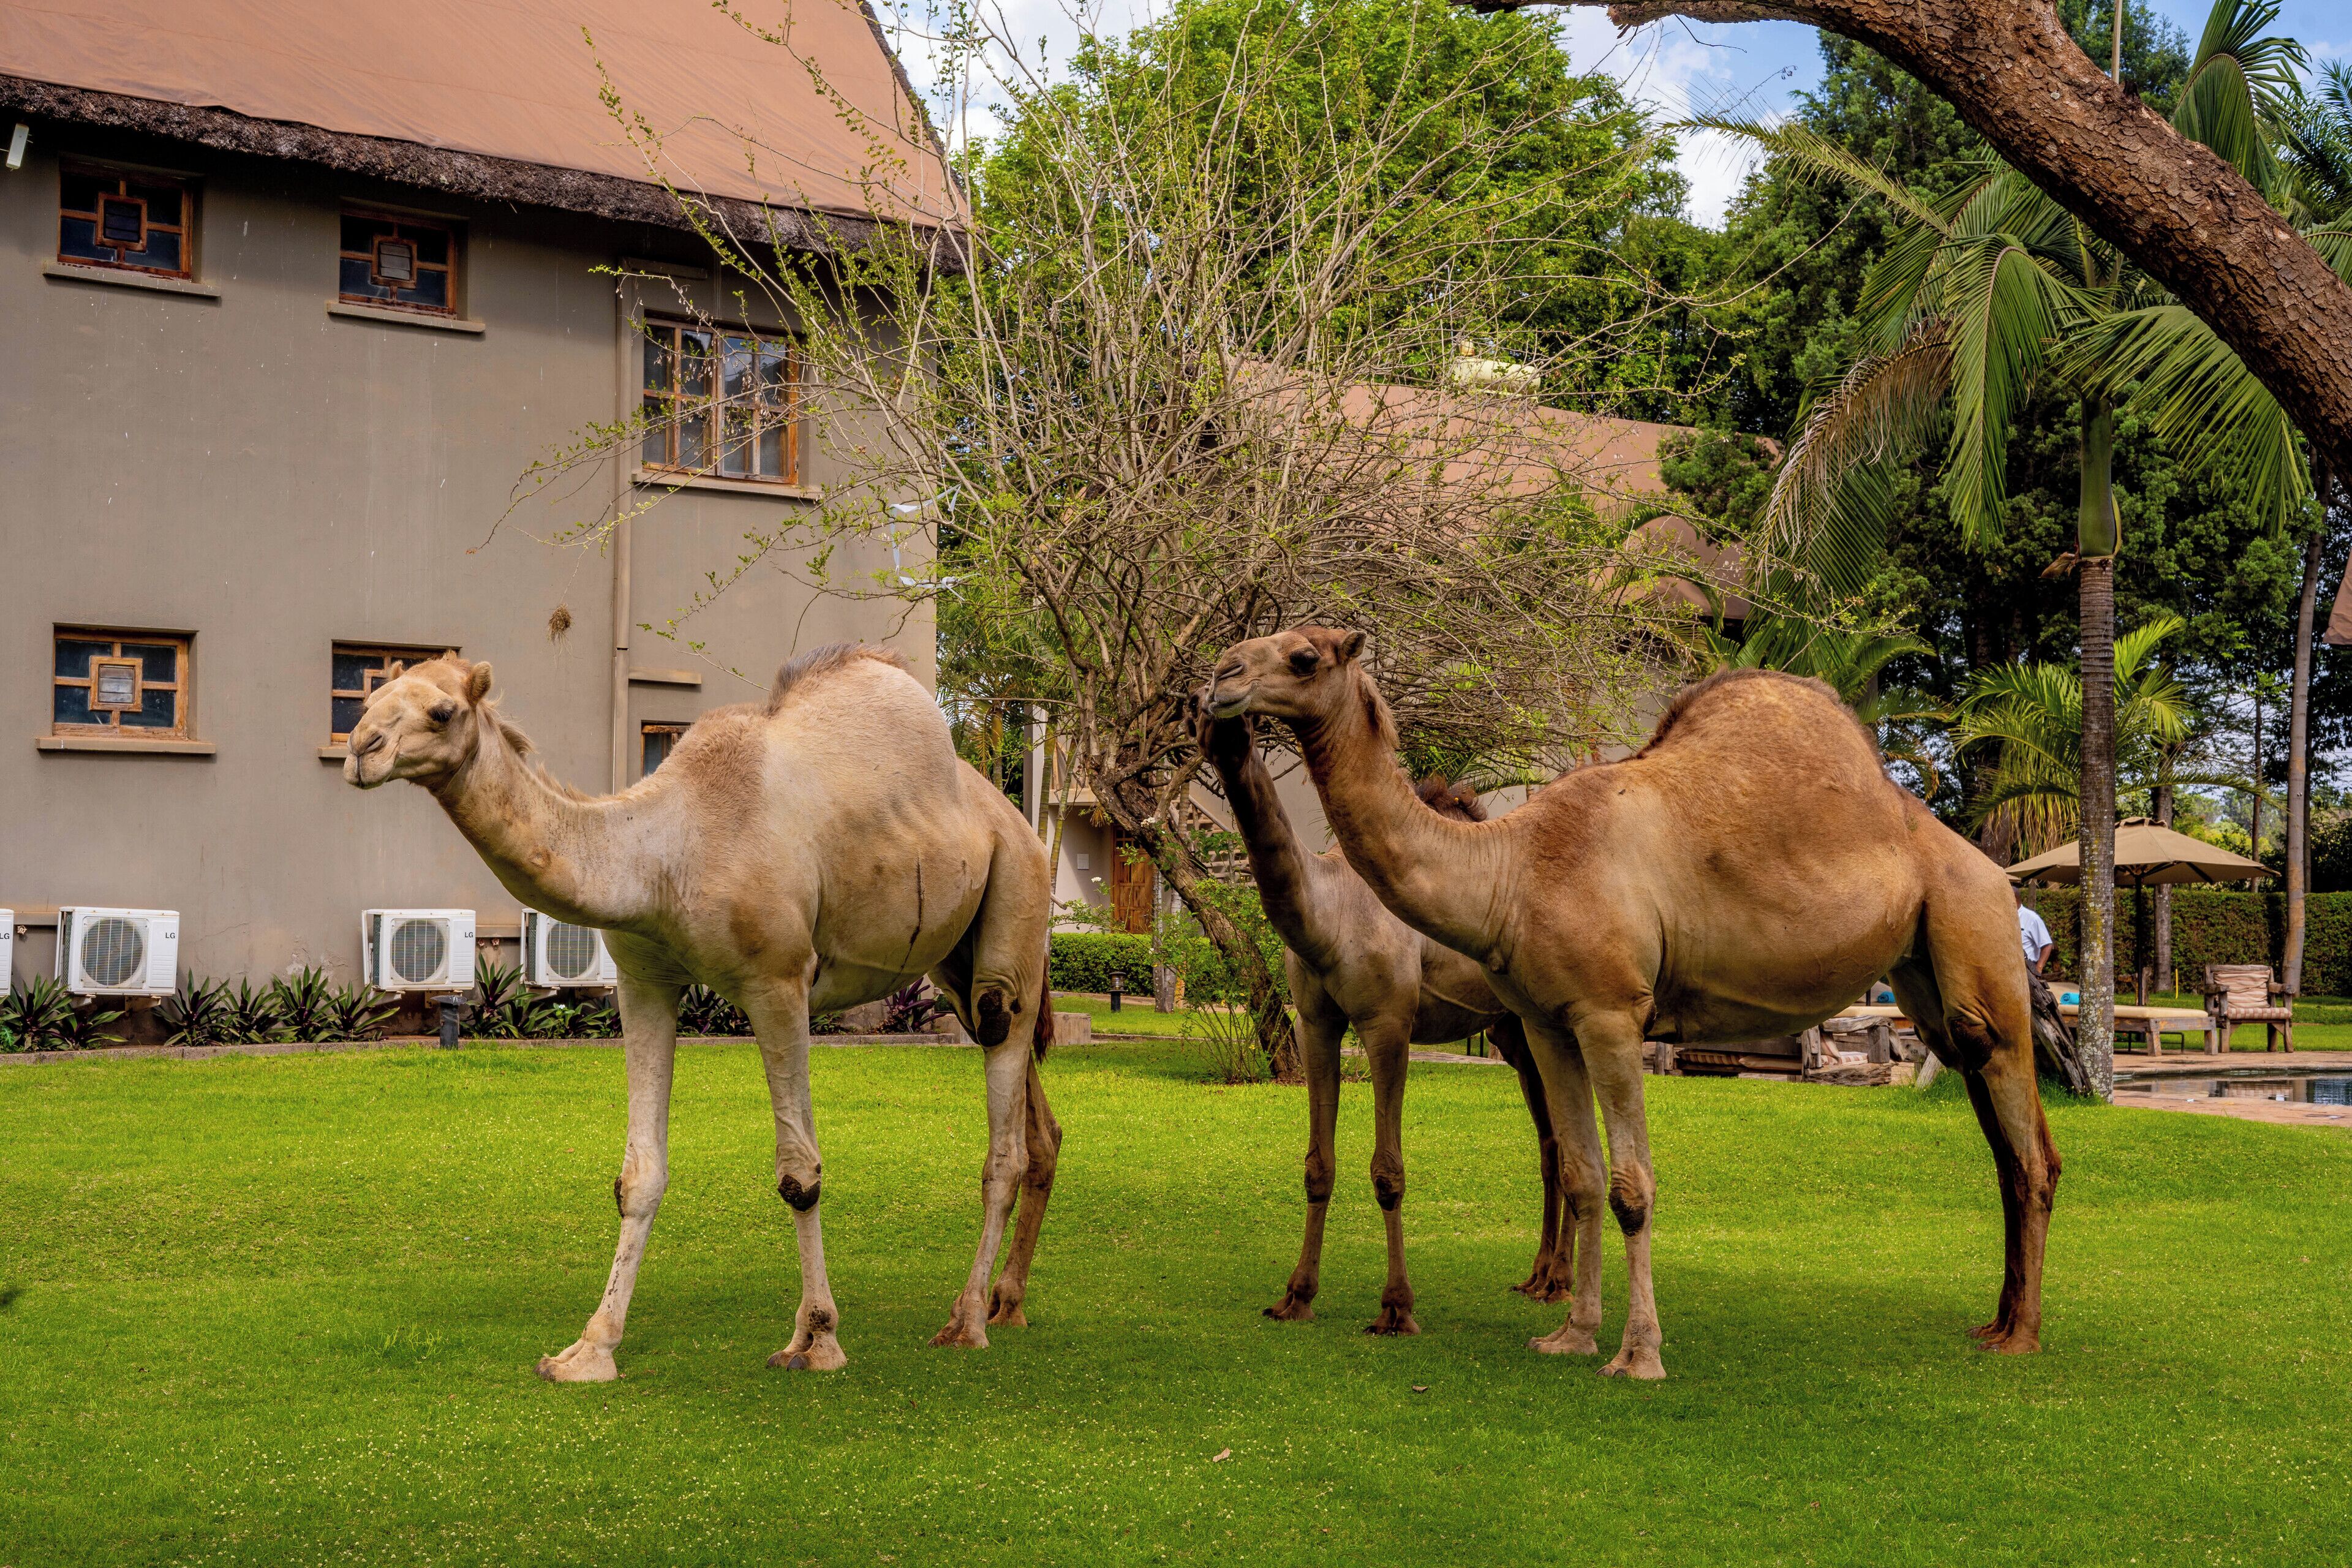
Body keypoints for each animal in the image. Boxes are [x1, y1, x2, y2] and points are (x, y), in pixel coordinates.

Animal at [344, 647, 1060, 1381]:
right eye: (370, 701)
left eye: (442, 711)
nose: (361, 751)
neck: (663, 853)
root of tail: (1018, 821)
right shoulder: (644, 980)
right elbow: (639, 1175)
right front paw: (589, 1349)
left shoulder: (778, 981)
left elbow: (799, 1173)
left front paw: (816, 1340)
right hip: (954, 960)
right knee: (1036, 1121)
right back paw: (1008, 1303)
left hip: (1016, 906)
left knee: (1004, 1120)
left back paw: (966, 1321)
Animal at [1193, 706, 1572, 1333]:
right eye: (1198, 715)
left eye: (1245, 724)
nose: (1223, 737)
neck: (1329, 915)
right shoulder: (1316, 1023)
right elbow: (1317, 1166)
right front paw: (1296, 1296)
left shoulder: (1388, 1021)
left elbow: (1388, 1172)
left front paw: (1396, 1308)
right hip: (1515, 1033)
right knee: (1554, 1145)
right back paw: (1540, 1278)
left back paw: (1562, 1283)